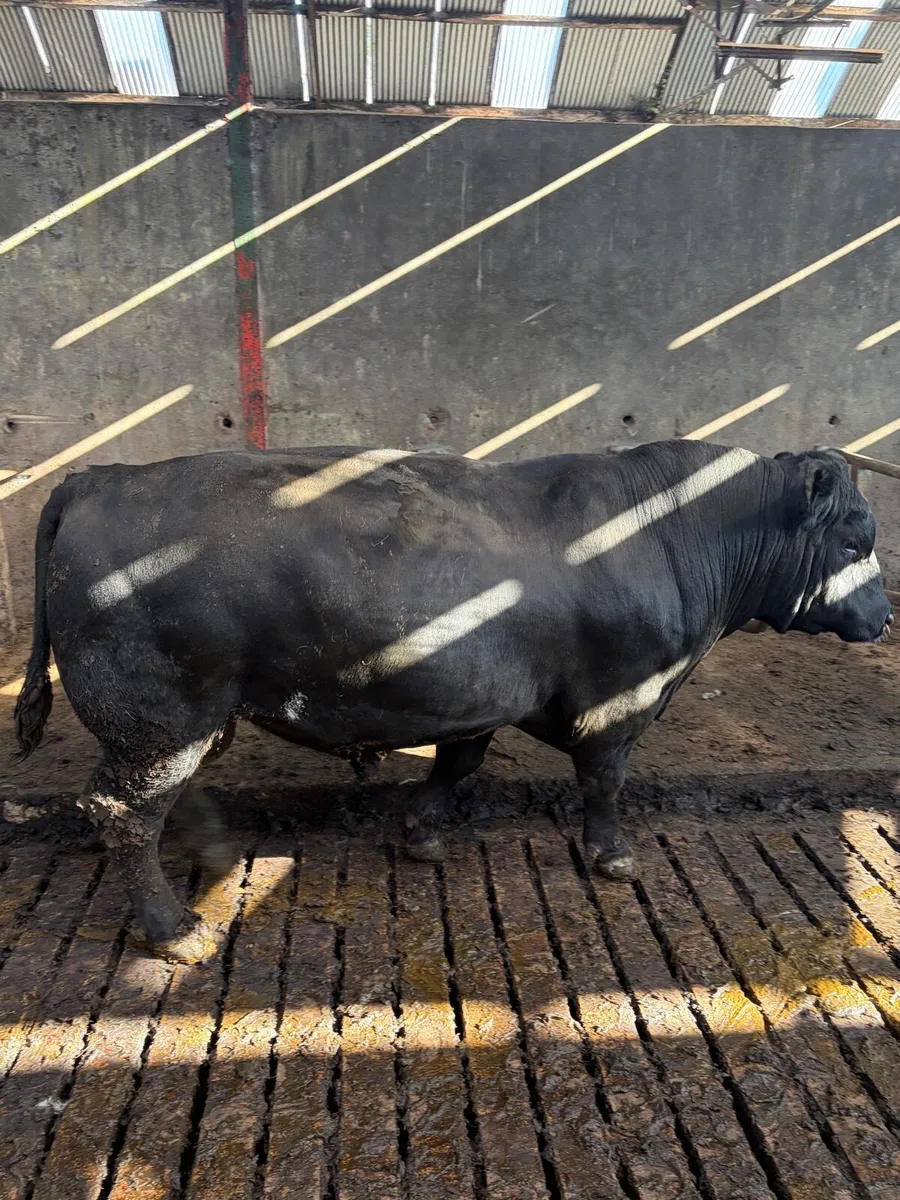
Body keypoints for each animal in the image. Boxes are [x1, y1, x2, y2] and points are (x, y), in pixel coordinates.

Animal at [14, 440, 892, 962]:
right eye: (855, 540)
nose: (885, 617)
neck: (672, 534)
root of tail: (99, 477)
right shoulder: (621, 699)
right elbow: (604, 780)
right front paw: (612, 856)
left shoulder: (477, 693)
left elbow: (459, 761)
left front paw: (425, 832)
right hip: (158, 716)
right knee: (125, 812)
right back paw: (174, 930)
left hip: (190, 717)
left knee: (169, 796)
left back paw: (215, 855)